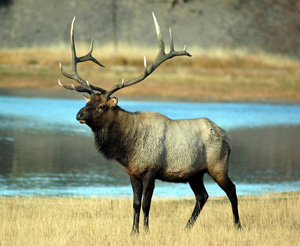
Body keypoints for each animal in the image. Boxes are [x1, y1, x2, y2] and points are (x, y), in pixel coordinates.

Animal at [58, 13, 241, 233]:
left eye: (102, 106)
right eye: (88, 102)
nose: (79, 114)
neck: (127, 146)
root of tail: (226, 136)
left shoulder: (151, 170)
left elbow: (147, 203)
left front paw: (146, 231)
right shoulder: (133, 173)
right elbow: (136, 204)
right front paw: (133, 232)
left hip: (218, 165)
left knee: (231, 190)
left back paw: (238, 225)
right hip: (195, 173)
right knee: (202, 196)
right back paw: (186, 227)